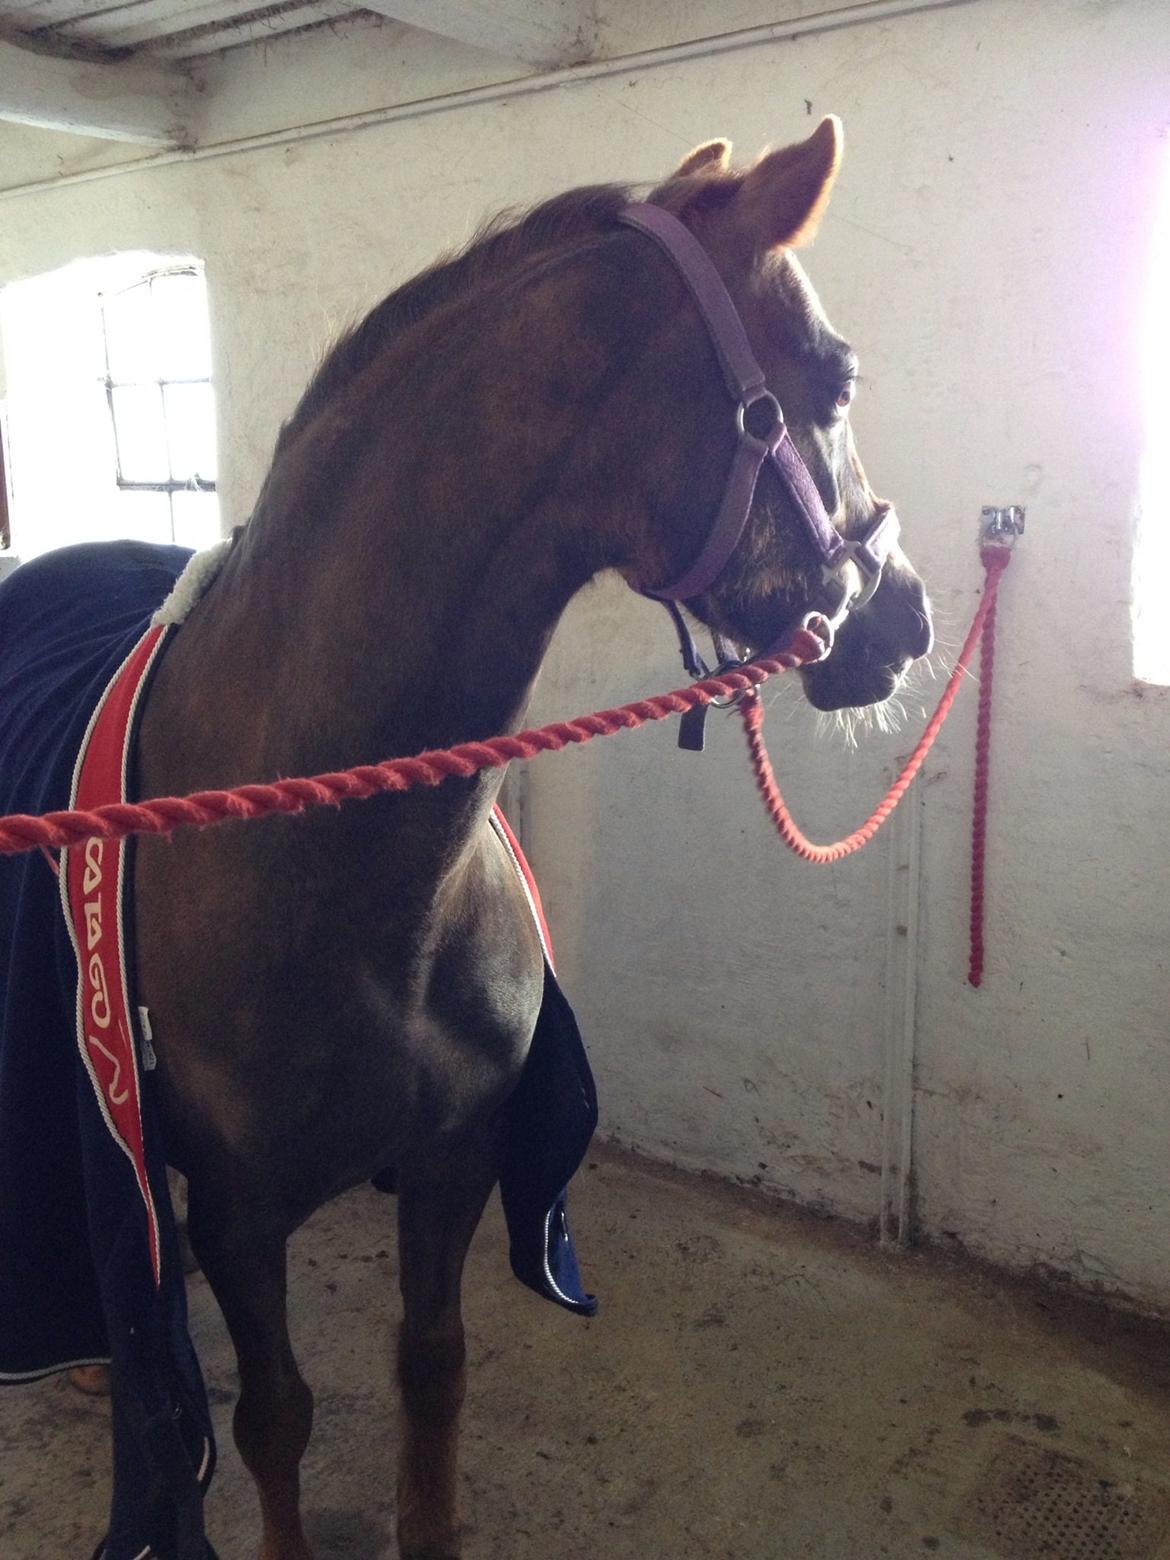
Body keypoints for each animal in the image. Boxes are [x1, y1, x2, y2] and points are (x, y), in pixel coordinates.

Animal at [6, 117, 933, 1558]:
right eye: (832, 379)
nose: (908, 618)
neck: (329, 867)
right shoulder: (236, 1212)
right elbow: (274, 1416)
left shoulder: (454, 1160)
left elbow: (430, 1377)